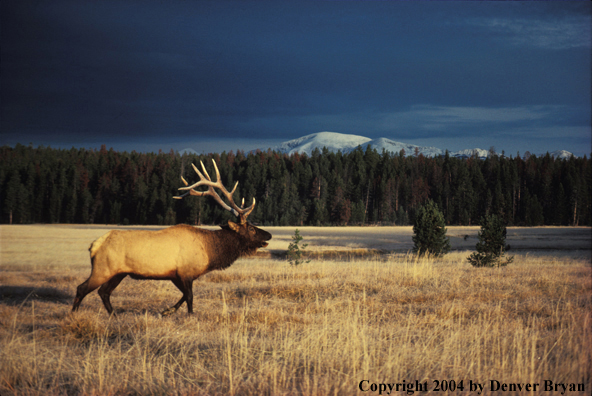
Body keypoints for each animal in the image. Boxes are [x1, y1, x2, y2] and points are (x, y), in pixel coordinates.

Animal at [71, 158, 270, 316]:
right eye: (251, 228)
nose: (268, 234)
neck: (210, 252)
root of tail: (94, 245)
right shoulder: (185, 272)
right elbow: (189, 296)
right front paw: (190, 315)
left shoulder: (176, 275)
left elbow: (183, 296)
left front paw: (167, 311)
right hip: (102, 268)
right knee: (82, 288)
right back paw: (74, 314)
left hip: (119, 272)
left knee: (104, 292)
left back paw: (114, 315)